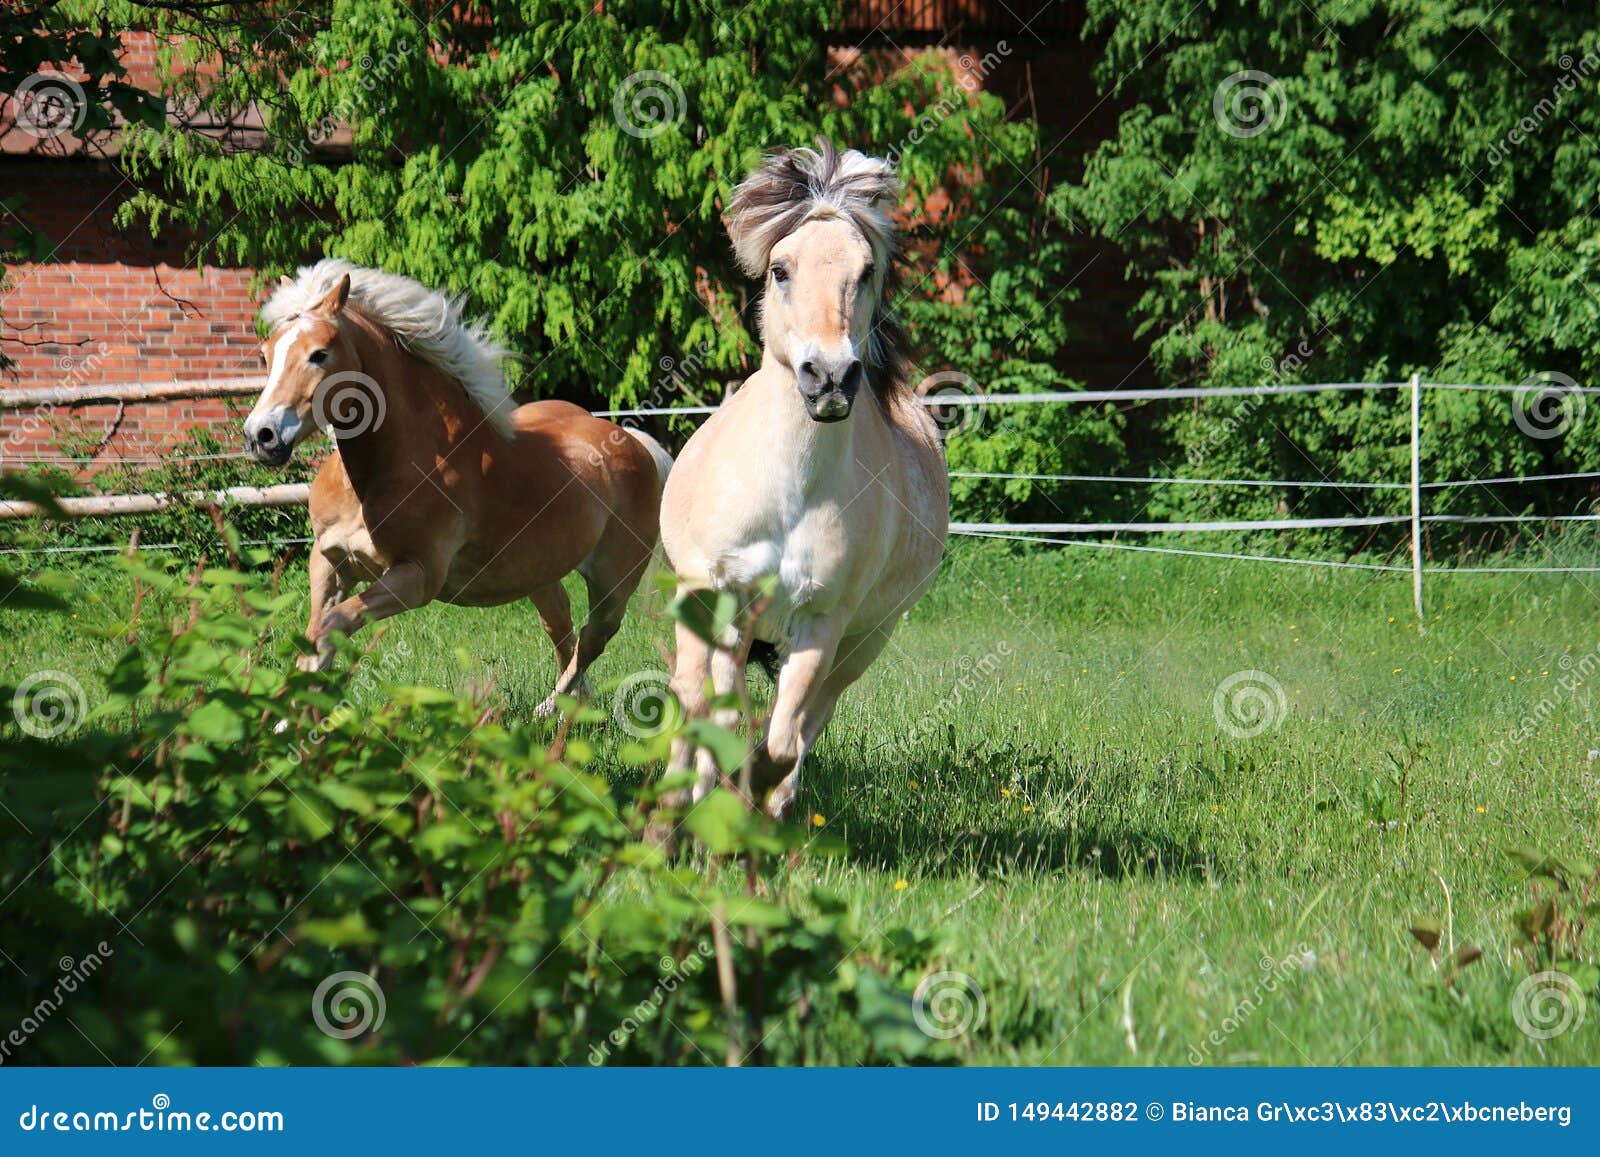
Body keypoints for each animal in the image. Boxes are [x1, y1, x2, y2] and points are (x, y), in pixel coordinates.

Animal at [240, 260, 672, 713]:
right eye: (266, 354)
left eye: (319, 354)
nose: (261, 436)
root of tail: (633, 441)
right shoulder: (330, 563)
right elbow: (312, 642)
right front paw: (281, 720)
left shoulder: (417, 578)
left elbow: (330, 628)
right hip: (541, 576)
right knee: (561, 629)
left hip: (613, 585)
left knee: (591, 641)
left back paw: (550, 709)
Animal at [662, 142, 947, 825]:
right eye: (780, 270)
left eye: (865, 271)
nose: (831, 377)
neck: (790, 493)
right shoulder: (727, 603)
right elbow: (721, 719)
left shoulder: (821, 623)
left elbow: (781, 742)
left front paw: (752, 813)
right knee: (695, 702)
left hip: (863, 643)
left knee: (808, 722)